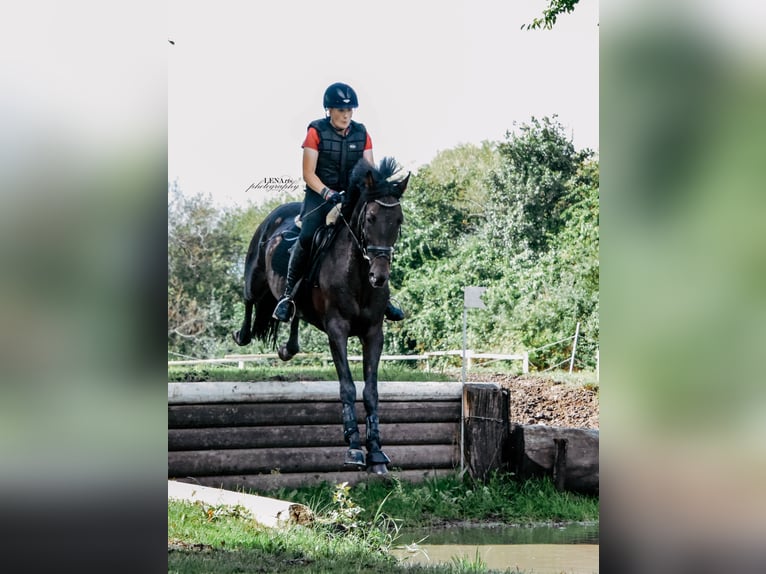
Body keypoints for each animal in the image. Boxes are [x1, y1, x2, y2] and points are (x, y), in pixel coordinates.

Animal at [234, 158, 412, 476]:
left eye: (398, 221)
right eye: (370, 219)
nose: (379, 277)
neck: (358, 274)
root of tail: (277, 214)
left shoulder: (373, 333)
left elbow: (371, 391)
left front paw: (377, 453)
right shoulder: (337, 330)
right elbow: (347, 387)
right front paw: (353, 447)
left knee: (292, 311)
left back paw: (287, 347)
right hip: (254, 275)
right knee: (249, 300)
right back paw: (242, 335)